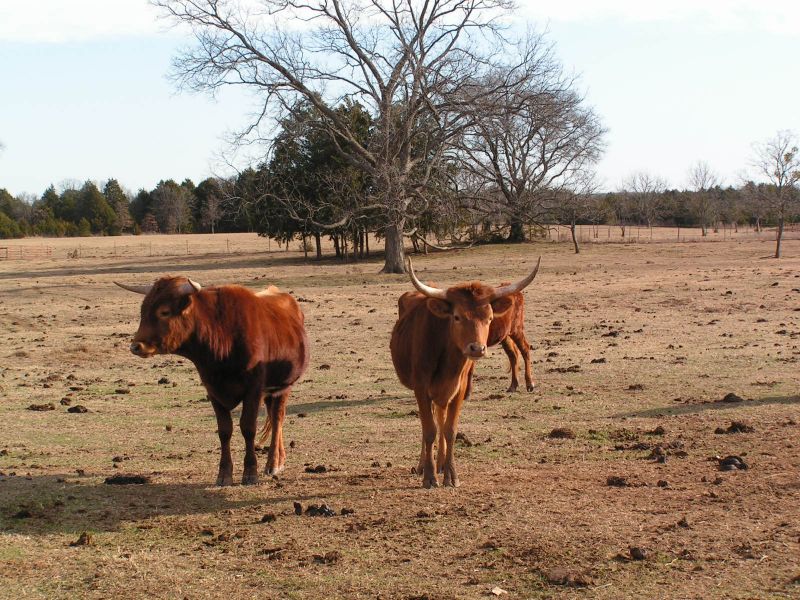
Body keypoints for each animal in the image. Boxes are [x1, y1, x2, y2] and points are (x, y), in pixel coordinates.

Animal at [117, 274, 308, 486]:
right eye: (143, 311)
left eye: (164, 312)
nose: (136, 346)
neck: (223, 333)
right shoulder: (213, 391)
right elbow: (224, 431)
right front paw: (224, 474)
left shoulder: (253, 390)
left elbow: (248, 428)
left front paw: (251, 472)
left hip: (283, 387)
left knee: (277, 418)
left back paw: (273, 462)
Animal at [390, 258, 540, 488]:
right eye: (457, 317)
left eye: (489, 317)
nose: (477, 348)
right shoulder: (421, 389)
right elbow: (429, 430)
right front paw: (429, 476)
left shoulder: (457, 390)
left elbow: (449, 430)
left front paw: (450, 474)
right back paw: (424, 464)